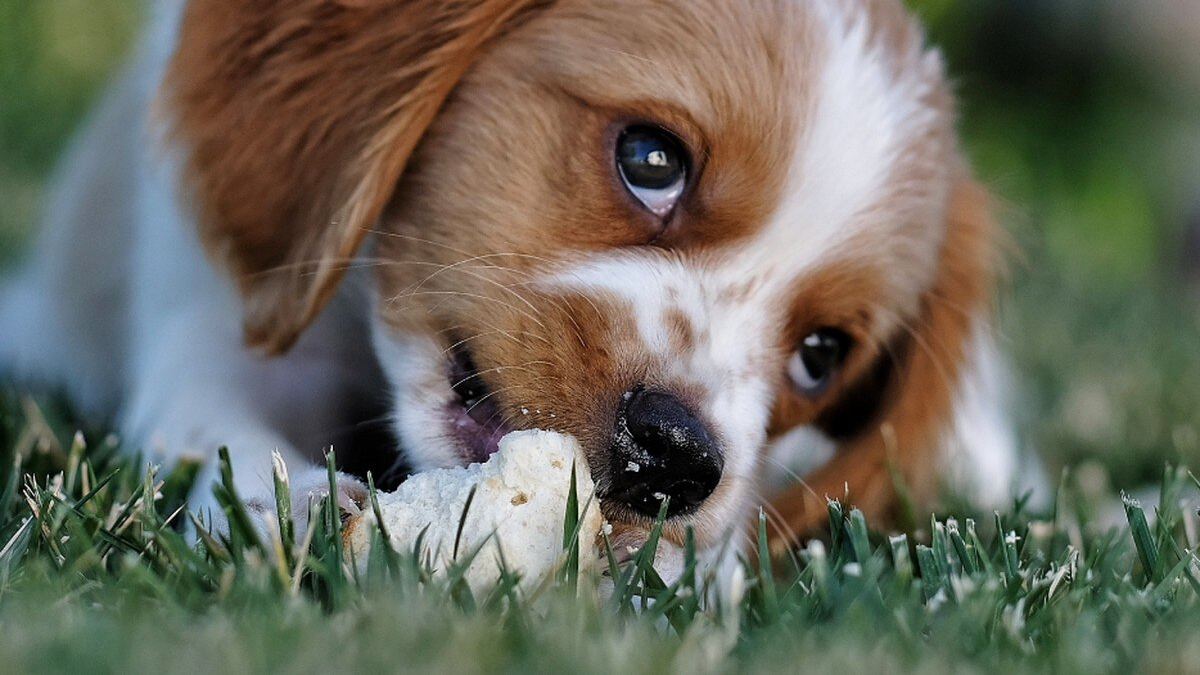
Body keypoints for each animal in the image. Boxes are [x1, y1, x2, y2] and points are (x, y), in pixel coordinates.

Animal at [0, 0, 1032, 557]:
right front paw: (291, 503)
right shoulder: (215, 320)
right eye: (651, 159)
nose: (679, 457)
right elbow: (216, 424)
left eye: (821, 354)